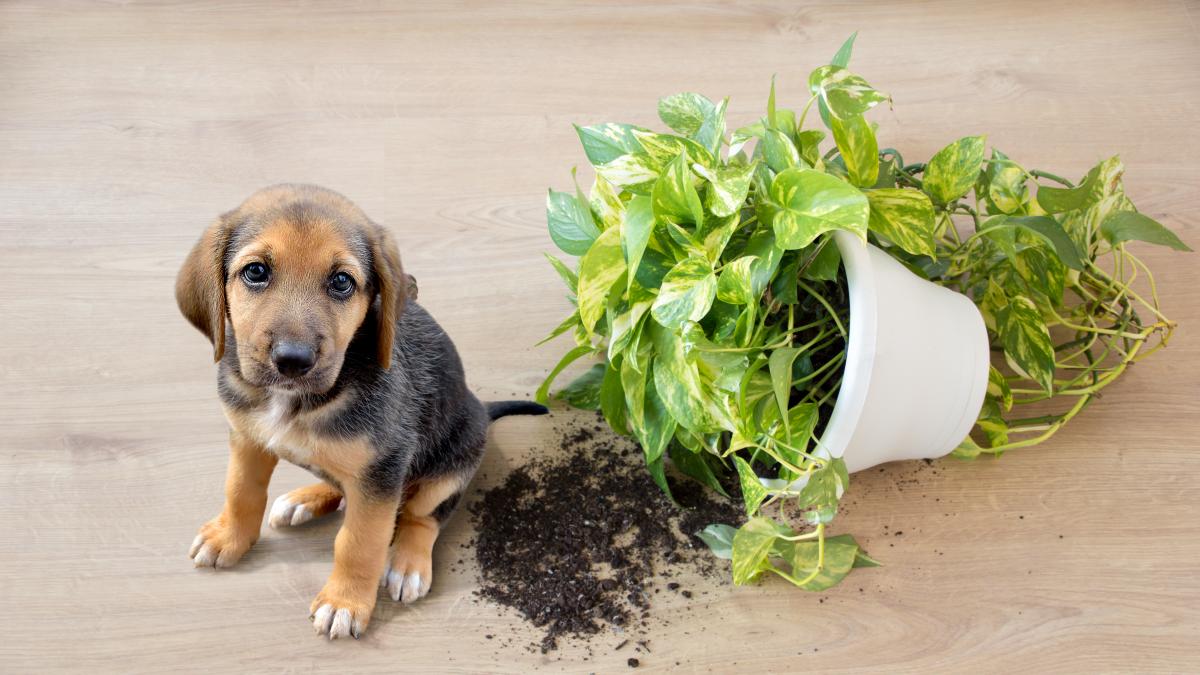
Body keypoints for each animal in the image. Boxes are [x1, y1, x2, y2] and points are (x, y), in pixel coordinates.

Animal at [175, 182, 547, 634]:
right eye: (256, 272)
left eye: (341, 282)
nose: (292, 361)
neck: (296, 402)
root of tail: (481, 408)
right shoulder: (248, 438)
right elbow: (240, 491)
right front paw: (229, 537)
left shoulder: (382, 471)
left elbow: (359, 542)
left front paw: (345, 602)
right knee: (340, 484)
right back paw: (304, 499)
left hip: (452, 463)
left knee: (423, 516)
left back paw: (408, 563)